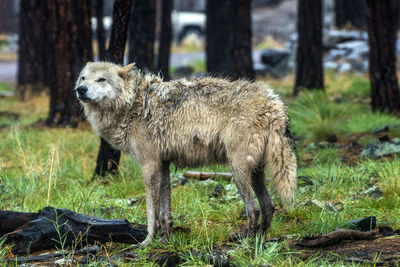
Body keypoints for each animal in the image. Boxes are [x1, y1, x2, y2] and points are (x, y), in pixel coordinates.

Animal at [76, 61, 296, 245]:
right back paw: (260, 239)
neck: (132, 105)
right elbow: (165, 212)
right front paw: (165, 239)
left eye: (101, 79)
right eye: (83, 78)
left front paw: (148, 242)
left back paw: (246, 242)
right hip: (255, 171)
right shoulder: (163, 165)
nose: (80, 89)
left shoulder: (149, 165)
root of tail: (274, 102)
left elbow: (151, 211)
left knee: (254, 208)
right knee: (269, 206)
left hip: (238, 170)